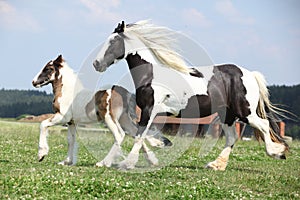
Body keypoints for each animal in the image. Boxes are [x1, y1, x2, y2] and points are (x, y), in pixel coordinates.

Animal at [32, 54, 171, 167]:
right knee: (136, 133)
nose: (34, 82)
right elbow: (71, 140)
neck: (68, 92)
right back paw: (150, 161)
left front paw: (41, 154)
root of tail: (124, 93)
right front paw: (67, 161)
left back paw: (104, 162)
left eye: (48, 69)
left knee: (120, 135)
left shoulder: (62, 117)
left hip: (109, 118)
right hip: (124, 119)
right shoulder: (71, 122)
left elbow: (43, 124)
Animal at [93, 20, 288, 170]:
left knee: (263, 125)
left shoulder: (150, 110)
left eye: (113, 41)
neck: (151, 74)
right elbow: (139, 134)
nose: (96, 64)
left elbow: (140, 134)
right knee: (232, 138)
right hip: (228, 115)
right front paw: (158, 146)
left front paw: (127, 163)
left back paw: (277, 152)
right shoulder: (149, 112)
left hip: (245, 112)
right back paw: (216, 165)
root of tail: (250, 74)